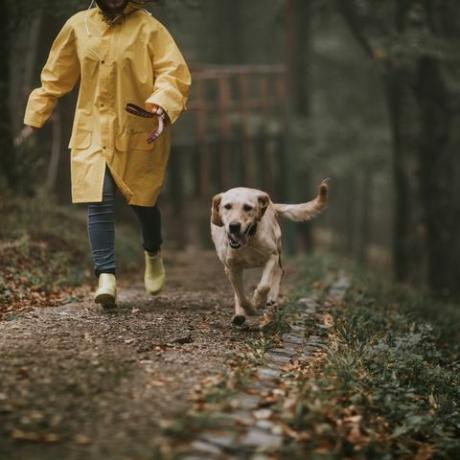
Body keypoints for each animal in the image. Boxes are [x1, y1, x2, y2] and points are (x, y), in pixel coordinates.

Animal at [210, 178, 328, 326]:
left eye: (248, 207)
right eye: (227, 206)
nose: (234, 226)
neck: (248, 241)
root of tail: (271, 203)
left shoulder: (271, 257)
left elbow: (264, 285)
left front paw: (257, 301)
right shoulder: (231, 268)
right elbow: (241, 296)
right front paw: (248, 310)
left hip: (278, 248)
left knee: (280, 271)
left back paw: (271, 298)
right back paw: (239, 315)